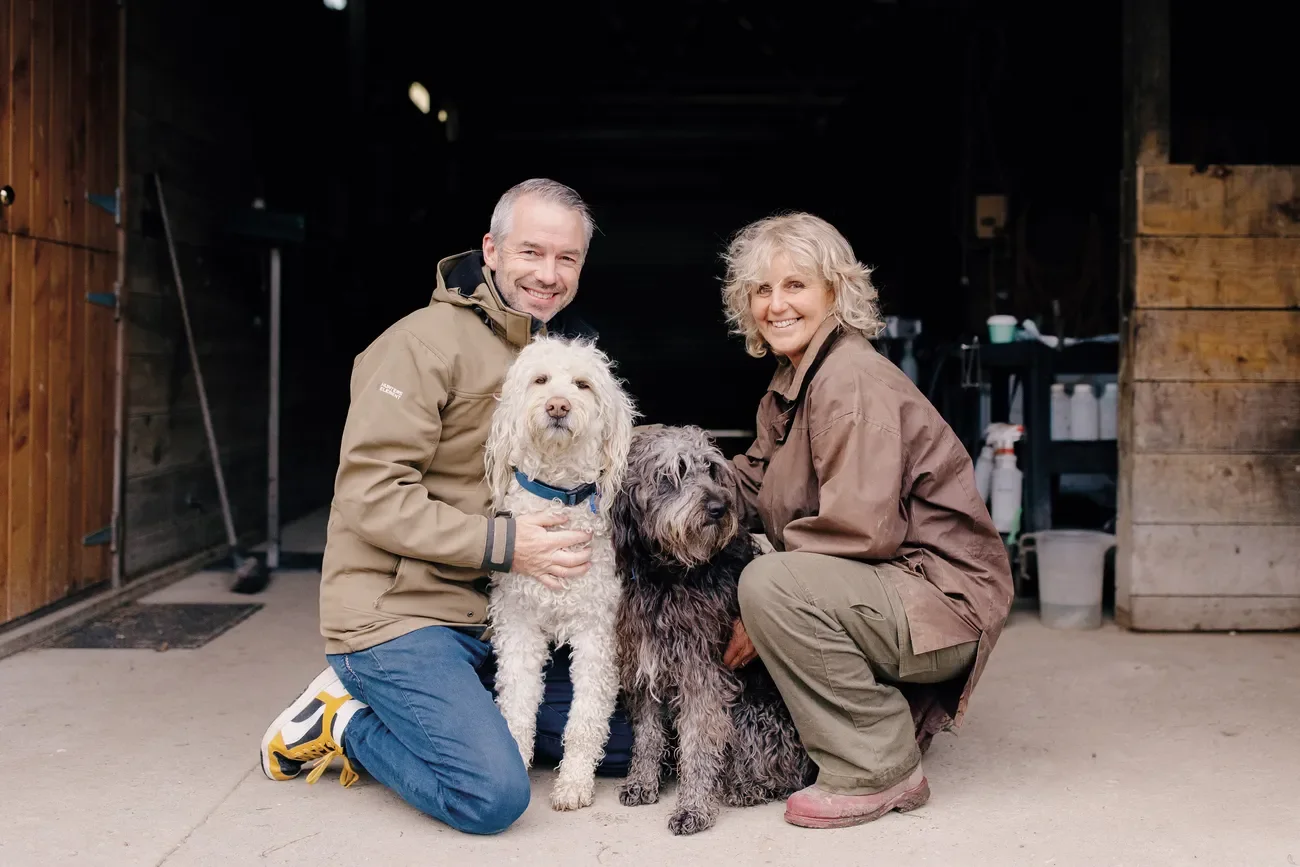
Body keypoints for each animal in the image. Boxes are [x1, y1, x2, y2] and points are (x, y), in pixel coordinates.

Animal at [483, 335, 634, 811]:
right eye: (540, 380)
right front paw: (517, 758)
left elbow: (586, 717)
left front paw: (573, 783)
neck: (558, 495)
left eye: (583, 385)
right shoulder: (519, 626)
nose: (557, 406)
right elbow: (517, 702)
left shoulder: (598, 632)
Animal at [611, 426, 811, 831]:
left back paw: (748, 787)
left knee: (780, 771)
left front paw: (694, 806)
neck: (670, 576)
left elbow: (699, 743)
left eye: (712, 470)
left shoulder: (701, 673)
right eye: (673, 473)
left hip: (754, 714)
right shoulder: (644, 662)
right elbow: (648, 734)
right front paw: (642, 781)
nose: (720, 507)